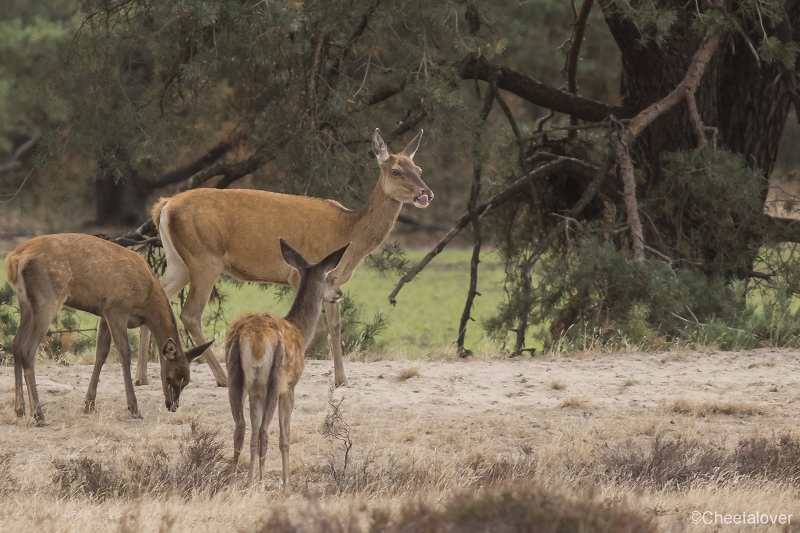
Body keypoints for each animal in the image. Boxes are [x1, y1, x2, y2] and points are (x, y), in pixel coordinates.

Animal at [4, 233, 211, 424]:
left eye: (186, 381)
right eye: (168, 377)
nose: (173, 406)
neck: (147, 303)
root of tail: (12, 259)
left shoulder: (103, 313)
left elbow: (101, 353)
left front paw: (89, 404)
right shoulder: (116, 308)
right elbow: (125, 353)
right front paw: (134, 408)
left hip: (26, 303)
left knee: (16, 344)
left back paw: (20, 410)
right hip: (48, 297)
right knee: (27, 348)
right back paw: (38, 415)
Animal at [138, 129, 432, 386]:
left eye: (418, 170)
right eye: (395, 171)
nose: (425, 193)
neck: (349, 233)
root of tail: (164, 206)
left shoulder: (334, 280)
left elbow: (336, 326)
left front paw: (342, 380)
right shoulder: (299, 272)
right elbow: (318, 328)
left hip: (179, 262)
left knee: (159, 296)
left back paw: (143, 376)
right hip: (204, 258)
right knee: (190, 313)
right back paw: (221, 378)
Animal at [227, 237, 348, 490]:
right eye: (331, 277)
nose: (339, 293)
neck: (300, 330)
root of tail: (253, 339)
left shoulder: (256, 391)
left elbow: (253, 435)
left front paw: (250, 481)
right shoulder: (290, 386)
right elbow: (284, 437)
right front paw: (286, 485)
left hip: (236, 377)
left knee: (241, 428)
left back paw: (233, 484)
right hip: (275, 377)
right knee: (264, 431)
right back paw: (263, 484)